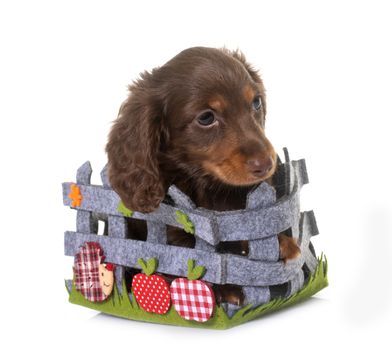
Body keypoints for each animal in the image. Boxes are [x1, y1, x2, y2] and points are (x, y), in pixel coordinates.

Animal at [105, 46, 298, 304]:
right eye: (206, 118)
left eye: (256, 102)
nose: (267, 164)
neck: (204, 183)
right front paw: (228, 289)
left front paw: (284, 243)